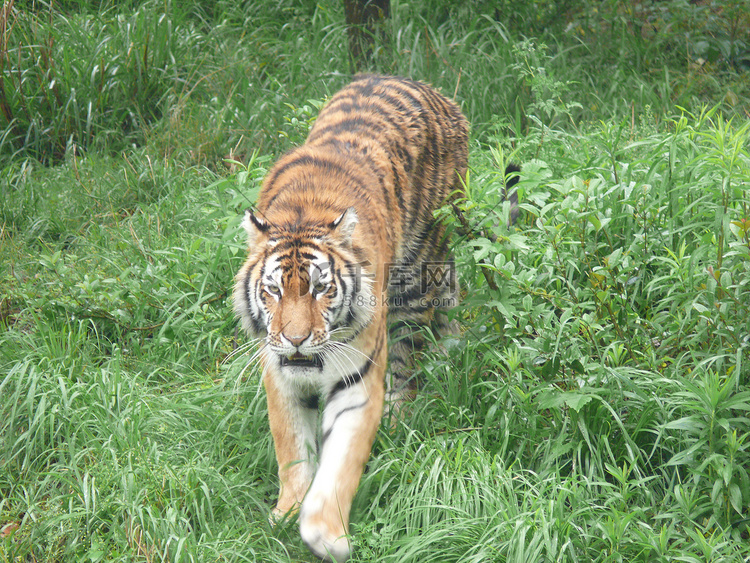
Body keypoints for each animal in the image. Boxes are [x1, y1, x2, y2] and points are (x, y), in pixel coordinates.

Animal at [235, 75, 470, 563]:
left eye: (321, 289)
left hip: (416, 276)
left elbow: (341, 463)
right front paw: (287, 511)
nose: (296, 339)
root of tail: (430, 90)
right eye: (274, 291)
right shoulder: (279, 376)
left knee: (410, 356)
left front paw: (325, 532)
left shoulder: (357, 383)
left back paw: (404, 409)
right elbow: (292, 451)